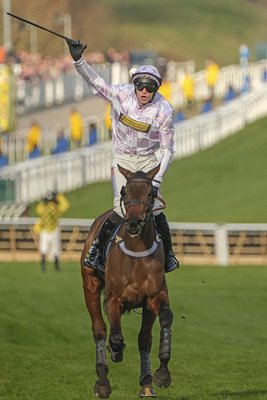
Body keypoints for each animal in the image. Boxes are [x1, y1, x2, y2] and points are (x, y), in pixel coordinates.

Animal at [80, 164, 175, 398]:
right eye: (124, 193)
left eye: (150, 193)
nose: (133, 223)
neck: (137, 251)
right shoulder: (113, 299)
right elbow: (114, 337)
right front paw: (115, 353)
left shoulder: (155, 296)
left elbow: (166, 318)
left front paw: (162, 374)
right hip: (90, 286)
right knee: (99, 329)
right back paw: (103, 382)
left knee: (144, 338)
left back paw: (147, 384)